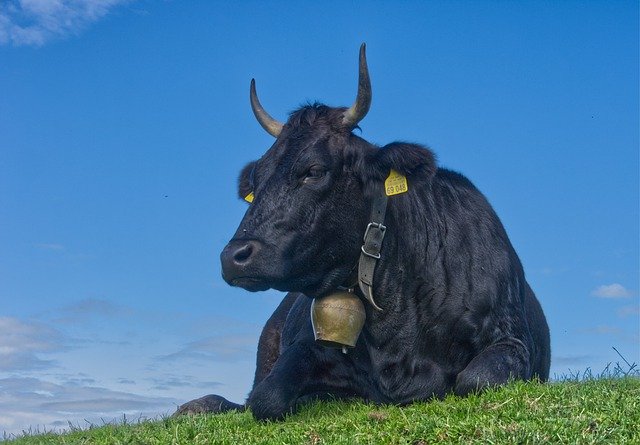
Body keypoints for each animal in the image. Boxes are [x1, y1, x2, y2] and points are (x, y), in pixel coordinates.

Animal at [175, 44, 552, 420]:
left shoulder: (511, 339)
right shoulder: (304, 348)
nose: (232, 257)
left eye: (314, 170)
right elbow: (266, 397)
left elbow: (475, 379)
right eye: (256, 180)